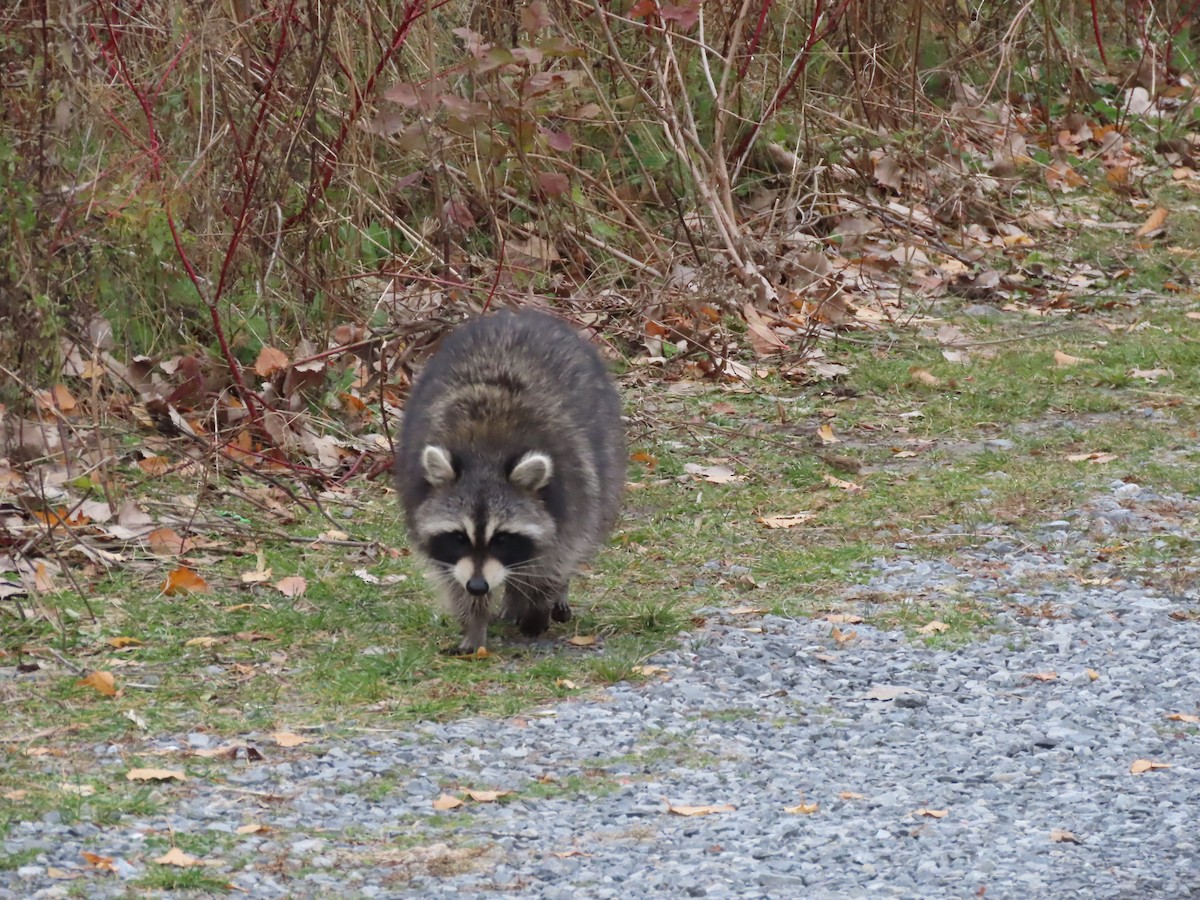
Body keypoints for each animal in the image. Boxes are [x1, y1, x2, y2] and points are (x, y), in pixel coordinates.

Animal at [395, 310, 625, 653]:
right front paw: (474, 625)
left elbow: (557, 554)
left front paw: (539, 602)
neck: (485, 457)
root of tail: (522, 315)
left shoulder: (572, 488)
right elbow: (453, 578)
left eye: (502, 539)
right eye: (459, 537)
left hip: (605, 453)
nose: (478, 586)